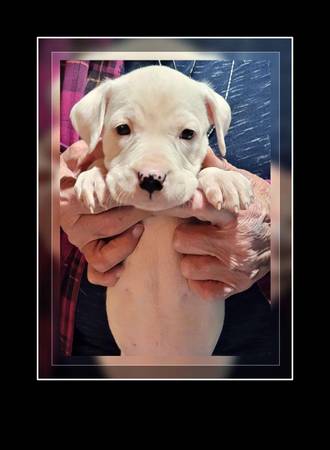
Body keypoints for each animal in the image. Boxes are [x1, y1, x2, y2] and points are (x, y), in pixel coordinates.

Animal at [71, 65, 254, 356]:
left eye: (188, 134)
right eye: (122, 129)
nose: (151, 178)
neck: (156, 216)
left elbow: (206, 170)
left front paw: (225, 180)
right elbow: (100, 163)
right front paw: (94, 178)